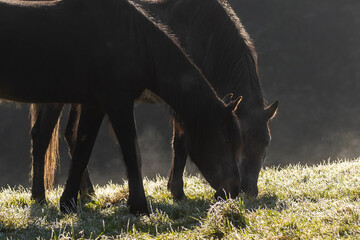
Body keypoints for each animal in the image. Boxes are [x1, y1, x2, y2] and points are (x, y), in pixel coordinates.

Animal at [0, 0, 242, 214]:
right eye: (224, 141)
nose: (234, 190)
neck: (131, 39)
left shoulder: (95, 105)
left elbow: (82, 150)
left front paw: (68, 203)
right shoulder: (118, 102)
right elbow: (132, 152)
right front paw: (139, 206)